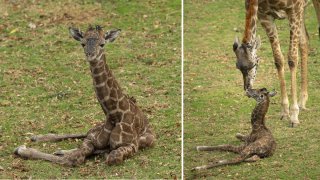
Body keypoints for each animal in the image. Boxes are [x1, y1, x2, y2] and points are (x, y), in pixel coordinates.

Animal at [14, 25, 156, 166]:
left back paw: (57, 149)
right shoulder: (92, 139)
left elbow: (103, 157)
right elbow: (81, 149)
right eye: (83, 44)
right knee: (84, 132)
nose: (90, 55)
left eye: (102, 44)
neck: (114, 114)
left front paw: (23, 149)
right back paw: (37, 137)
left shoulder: (131, 145)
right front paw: (22, 148)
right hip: (95, 128)